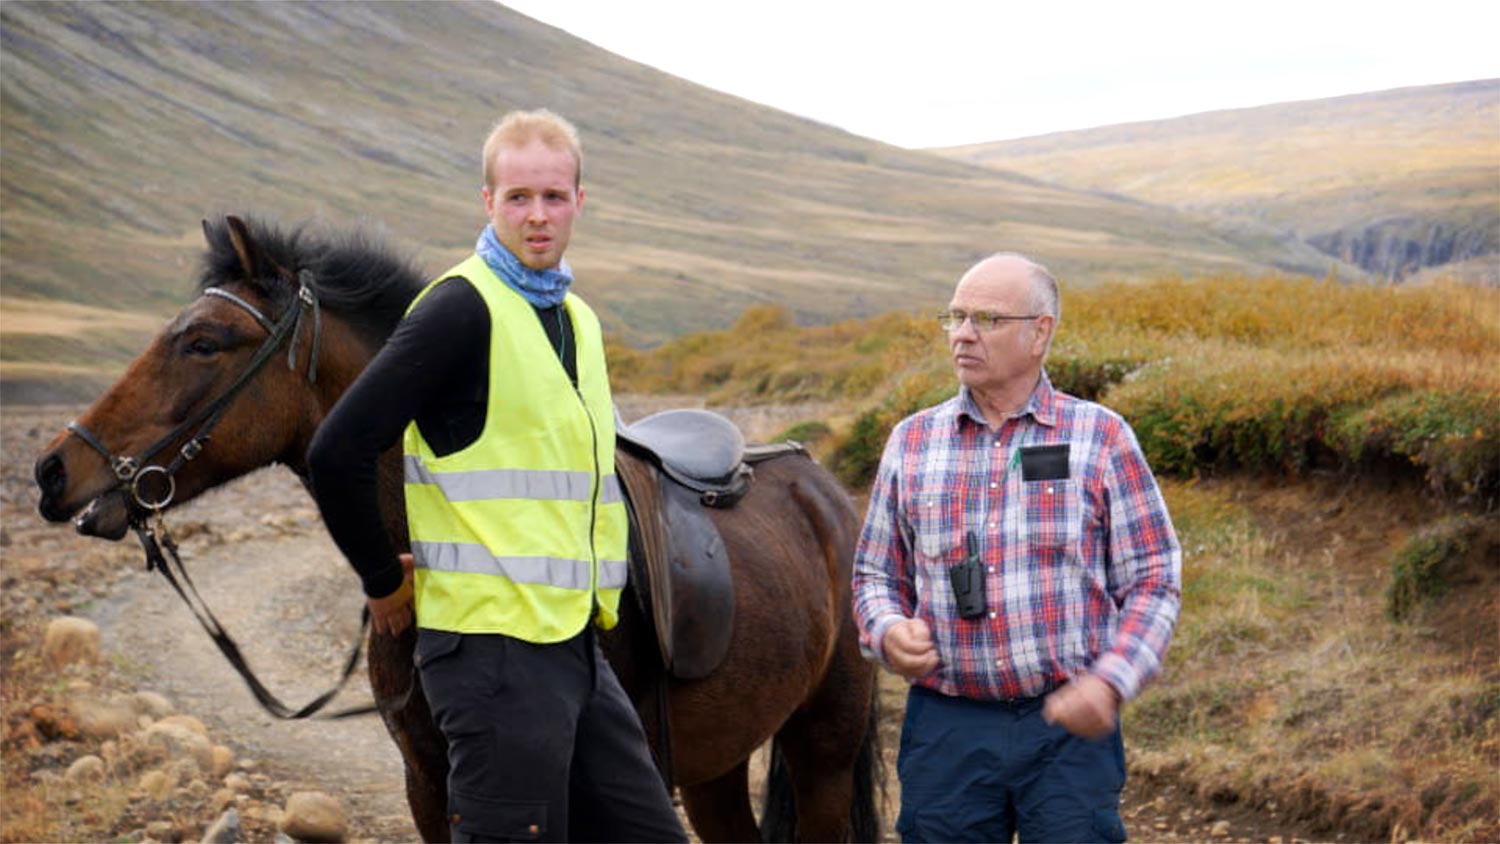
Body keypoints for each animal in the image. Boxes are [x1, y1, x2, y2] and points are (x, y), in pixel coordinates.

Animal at [32, 215, 876, 844]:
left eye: (203, 341)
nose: (52, 470)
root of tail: (825, 489)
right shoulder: (428, 782)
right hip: (719, 762)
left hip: (823, 747)